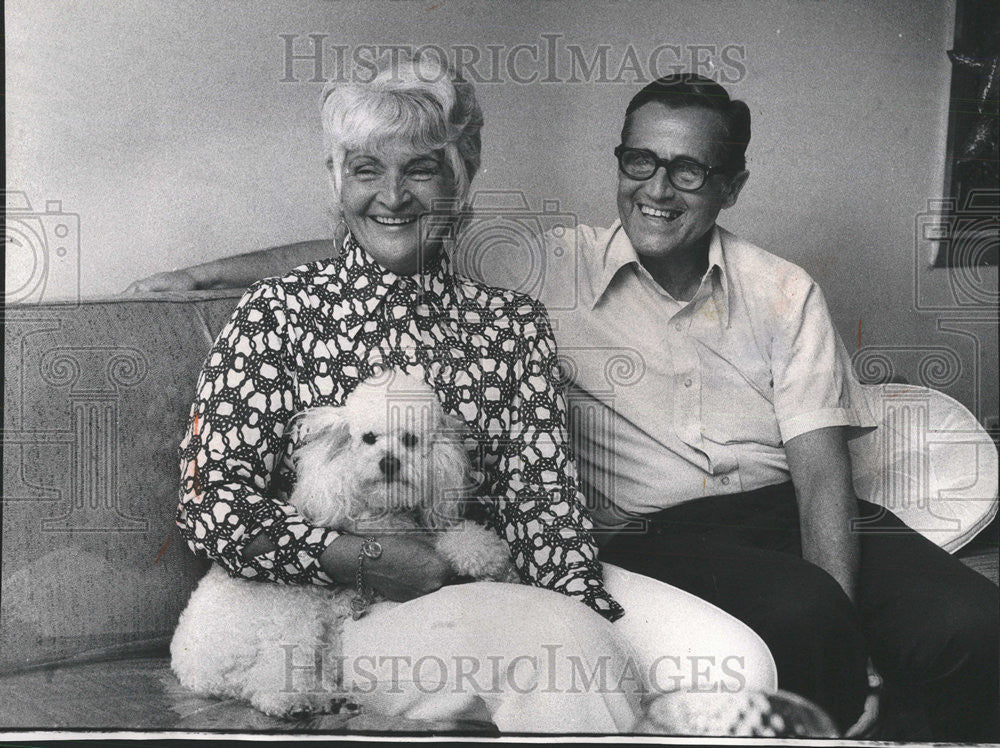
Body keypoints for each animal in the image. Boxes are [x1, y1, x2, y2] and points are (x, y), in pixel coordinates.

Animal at [172, 374, 516, 720]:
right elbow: (438, 541)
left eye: (410, 439)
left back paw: (330, 699)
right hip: (292, 616)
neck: (382, 506)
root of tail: (190, 671)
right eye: (368, 438)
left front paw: (488, 555)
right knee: (265, 679)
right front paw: (485, 555)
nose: (389, 463)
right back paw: (290, 701)